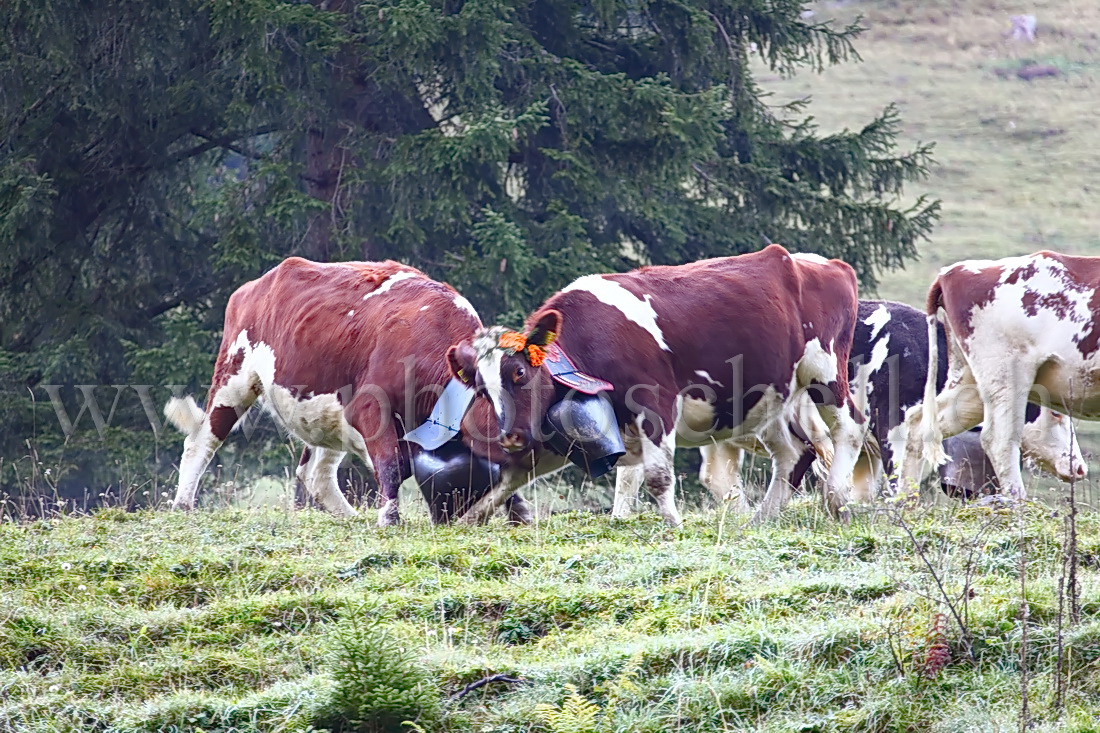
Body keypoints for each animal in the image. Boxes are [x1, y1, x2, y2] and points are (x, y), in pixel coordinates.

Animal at [162, 256, 532, 526]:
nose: (457, 519)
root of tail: (255, 285)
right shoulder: (369, 407)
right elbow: (393, 464)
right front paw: (389, 519)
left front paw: (521, 515)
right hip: (234, 376)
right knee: (202, 440)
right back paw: (183, 505)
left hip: (327, 414)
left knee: (315, 474)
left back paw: (350, 517)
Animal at [446, 245, 866, 526]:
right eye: (480, 389)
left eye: (519, 373)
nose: (511, 436)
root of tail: (823, 262)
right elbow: (506, 481)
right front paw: (467, 521)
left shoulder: (656, 401)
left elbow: (657, 476)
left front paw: (673, 525)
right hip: (771, 395)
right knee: (794, 453)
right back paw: (760, 519)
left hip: (824, 372)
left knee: (850, 428)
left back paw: (835, 500)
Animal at [897, 250, 1095, 497]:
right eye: (1055, 414)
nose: (1079, 468)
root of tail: (950, 273)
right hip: (1008, 375)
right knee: (1000, 441)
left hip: (971, 384)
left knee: (919, 423)